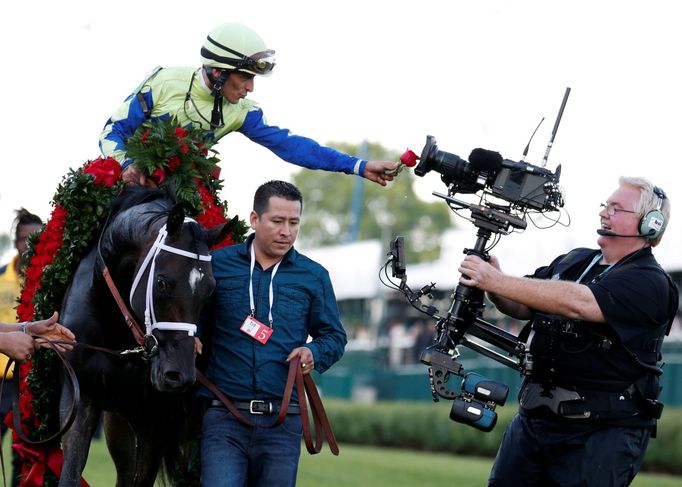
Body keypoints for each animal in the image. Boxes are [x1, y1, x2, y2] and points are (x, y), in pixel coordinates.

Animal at [56, 189, 231, 487]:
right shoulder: (80, 397)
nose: (178, 375)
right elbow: (70, 472)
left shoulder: (154, 418)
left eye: (210, 289)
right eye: (161, 282)